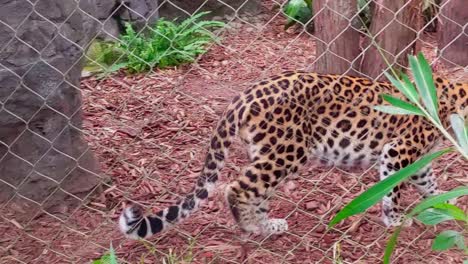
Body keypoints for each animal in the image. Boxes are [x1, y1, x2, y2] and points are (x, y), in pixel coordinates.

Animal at [119, 70, 466, 239]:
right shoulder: (398, 150)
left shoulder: (418, 158)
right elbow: (393, 190)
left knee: (257, 191)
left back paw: (269, 225)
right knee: (237, 187)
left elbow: (429, 183)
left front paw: (446, 206)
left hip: (270, 152)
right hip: (287, 151)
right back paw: (252, 228)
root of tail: (242, 96)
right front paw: (394, 220)